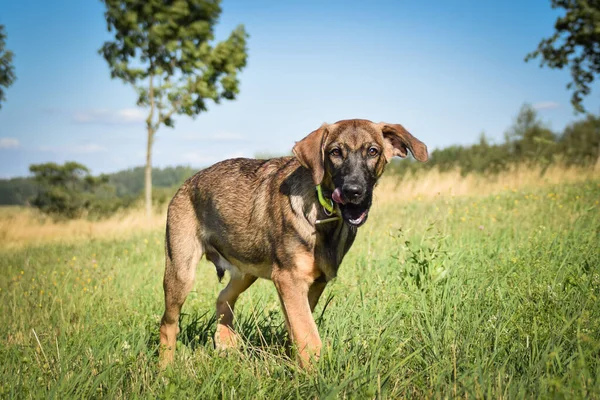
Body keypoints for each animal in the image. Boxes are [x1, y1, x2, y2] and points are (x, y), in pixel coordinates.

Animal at [159, 117, 426, 368]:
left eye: (373, 151)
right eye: (335, 152)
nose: (353, 191)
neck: (323, 212)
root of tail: (186, 184)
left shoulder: (312, 284)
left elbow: (298, 331)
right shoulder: (290, 280)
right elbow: (308, 334)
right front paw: (316, 376)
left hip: (246, 269)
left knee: (223, 298)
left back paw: (226, 346)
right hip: (181, 273)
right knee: (168, 323)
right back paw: (166, 369)